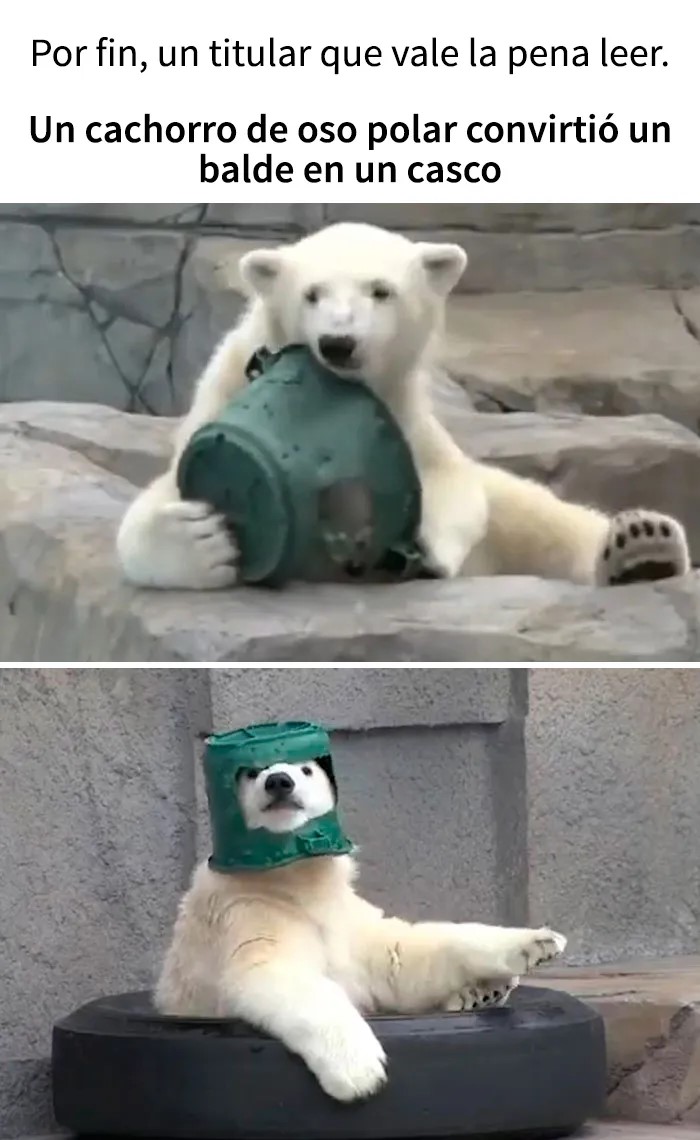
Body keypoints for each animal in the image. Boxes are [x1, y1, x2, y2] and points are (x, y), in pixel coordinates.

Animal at [116, 221, 691, 590]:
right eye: (312, 294)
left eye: (381, 291)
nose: (339, 343)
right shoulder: (223, 398)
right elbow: (153, 508)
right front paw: (202, 539)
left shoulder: (404, 415)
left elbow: (453, 482)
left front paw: (424, 547)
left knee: (543, 518)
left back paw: (642, 546)